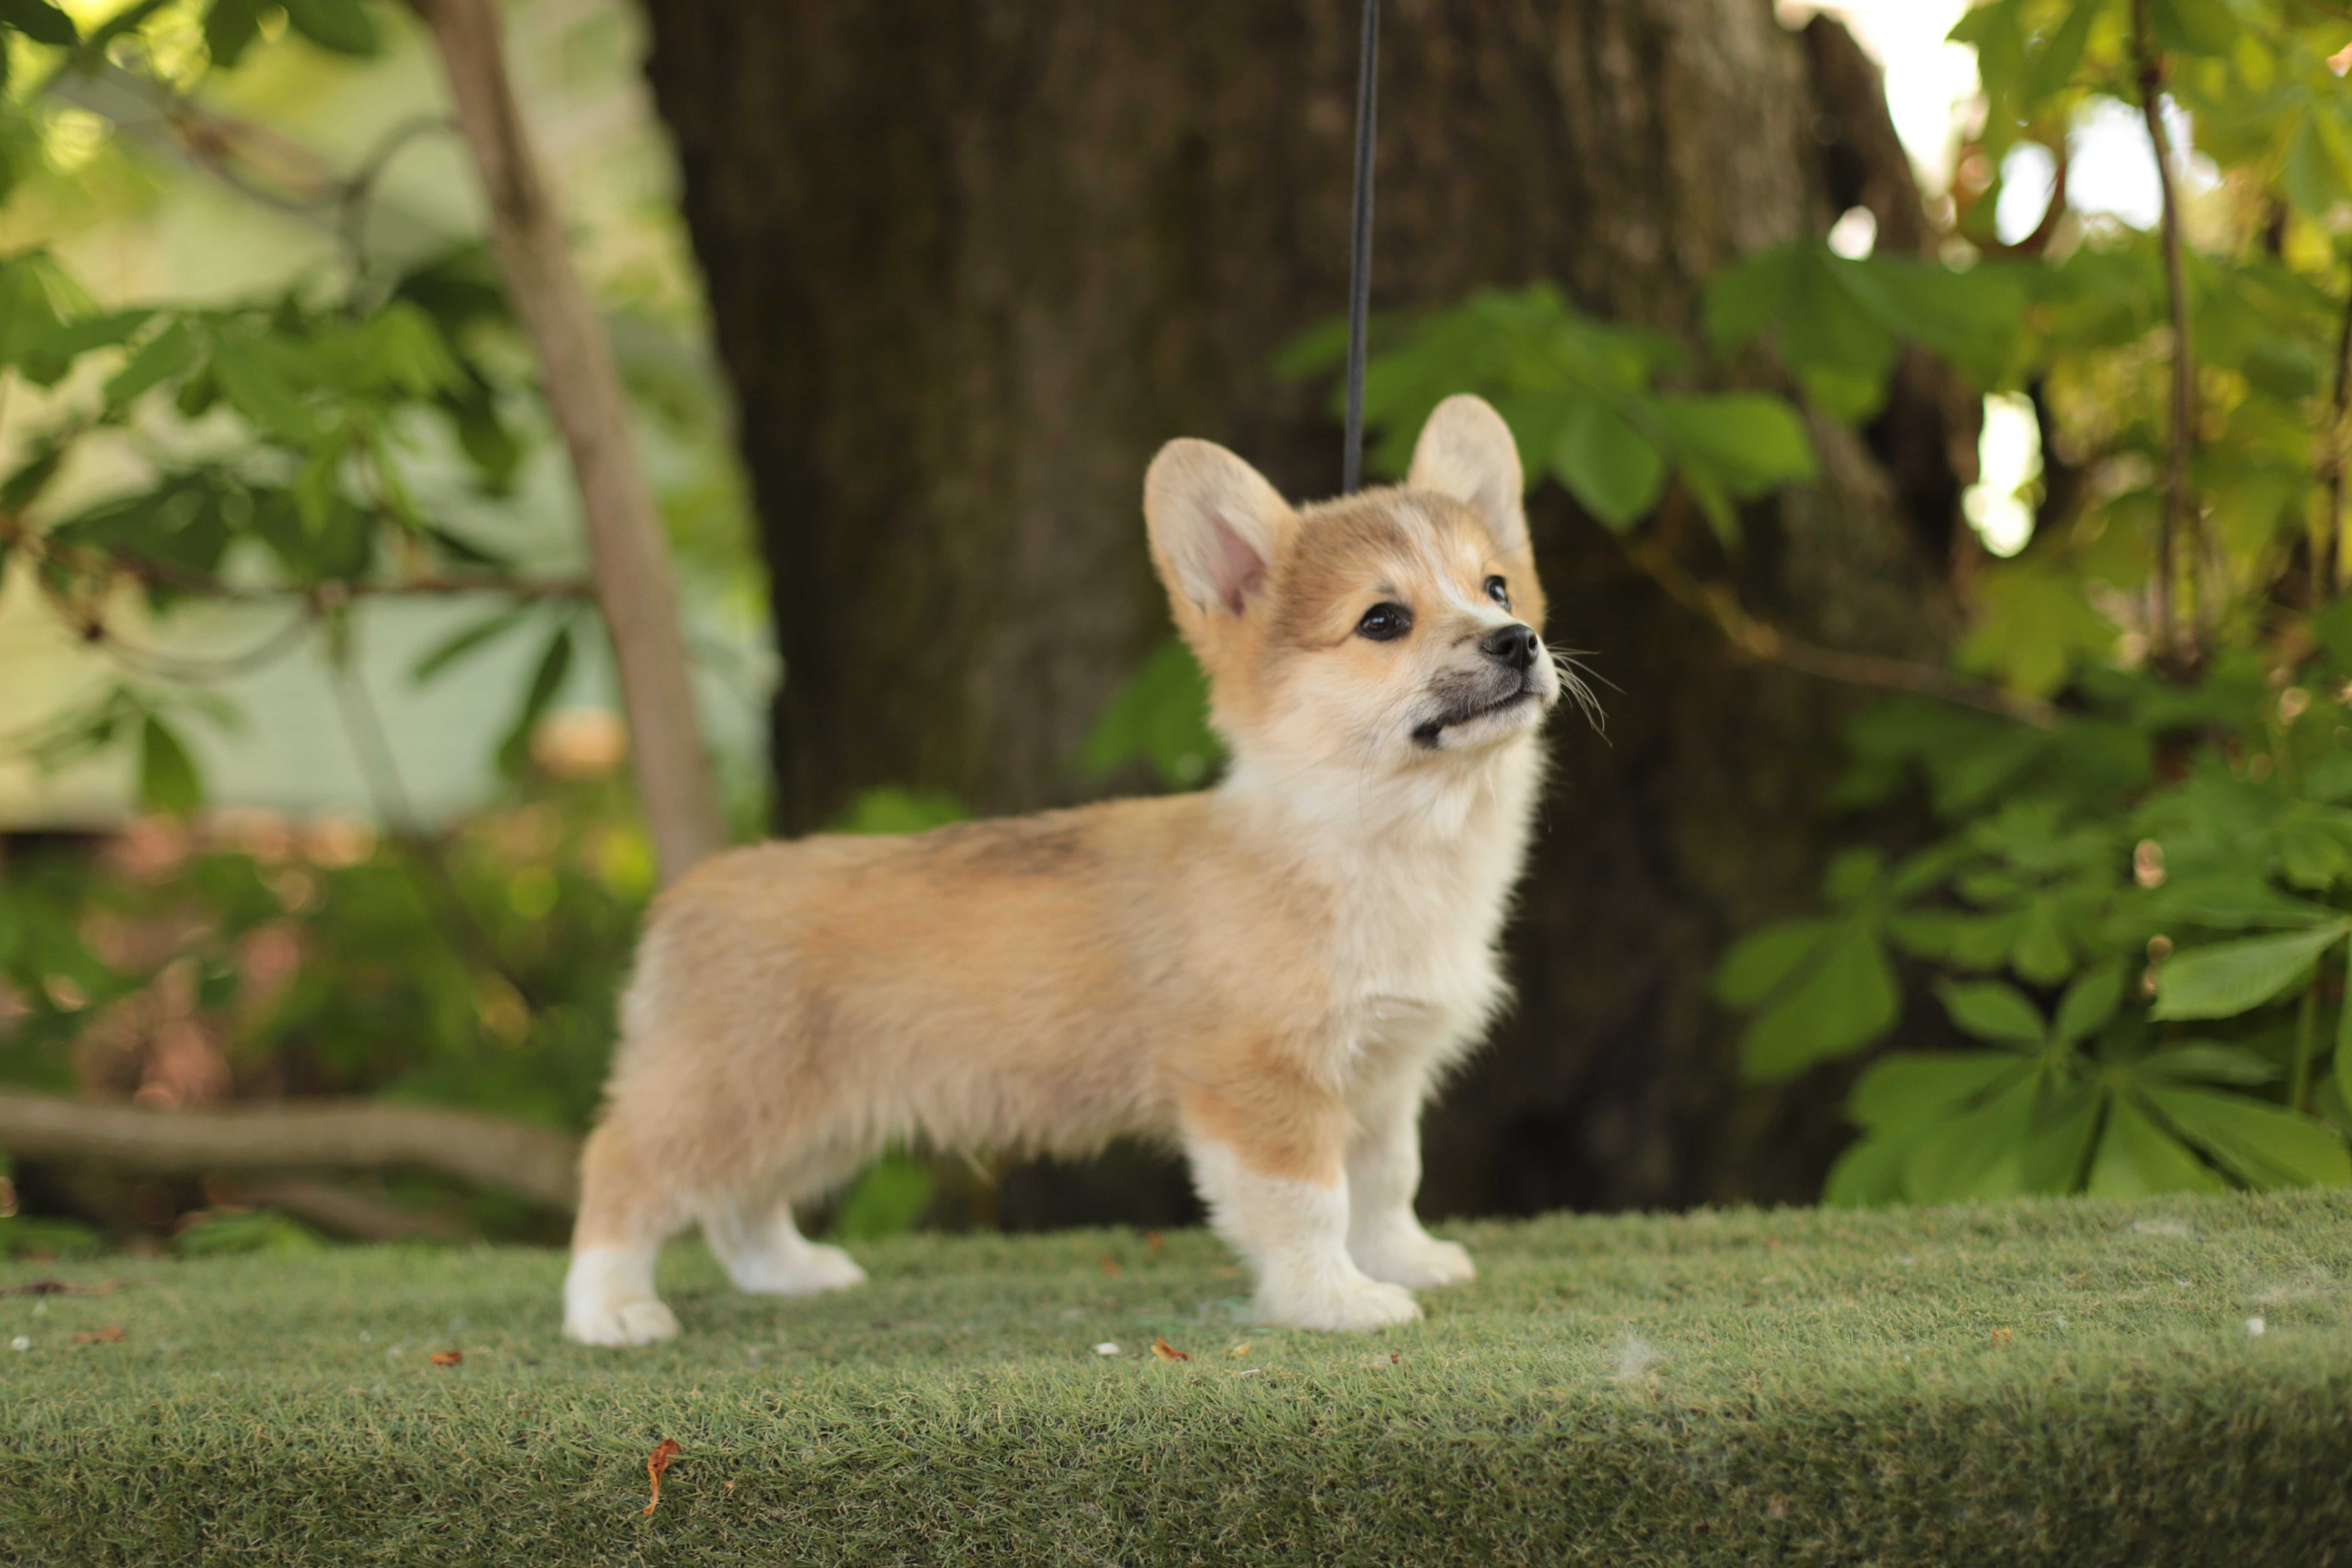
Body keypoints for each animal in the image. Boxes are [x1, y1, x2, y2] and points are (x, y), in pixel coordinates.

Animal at [560, 395, 1562, 1354]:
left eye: (1496, 586)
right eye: (1382, 620)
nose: (1516, 641)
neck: (1376, 836)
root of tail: (694, 891)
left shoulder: (1384, 1079)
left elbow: (1388, 1182)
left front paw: (1406, 1260)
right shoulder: (1261, 1087)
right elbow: (1310, 1204)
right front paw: (1337, 1300)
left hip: (814, 1120)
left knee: (740, 1202)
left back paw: (789, 1272)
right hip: (723, 1101)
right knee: (620, 1168)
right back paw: (610, 1310)